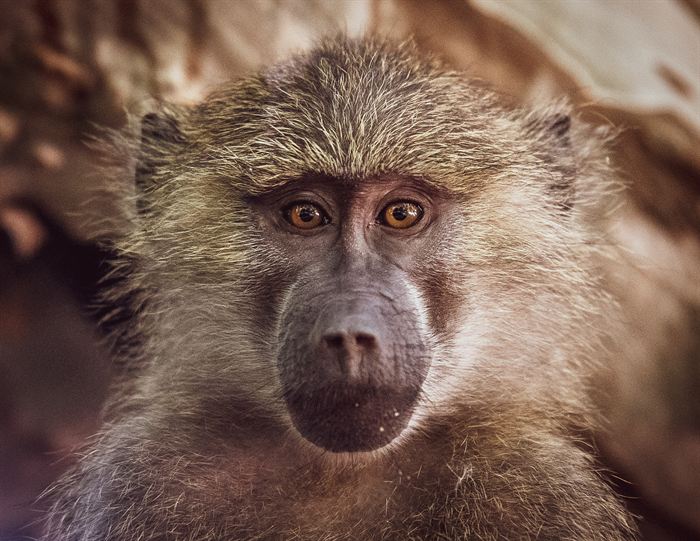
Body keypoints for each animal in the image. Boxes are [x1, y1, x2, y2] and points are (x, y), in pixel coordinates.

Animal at [42, 37, 638, 540]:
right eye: (306, 214)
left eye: (401, 213)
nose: (350, 334)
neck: (339, 472)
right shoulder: (142, 477)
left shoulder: (537, 484)